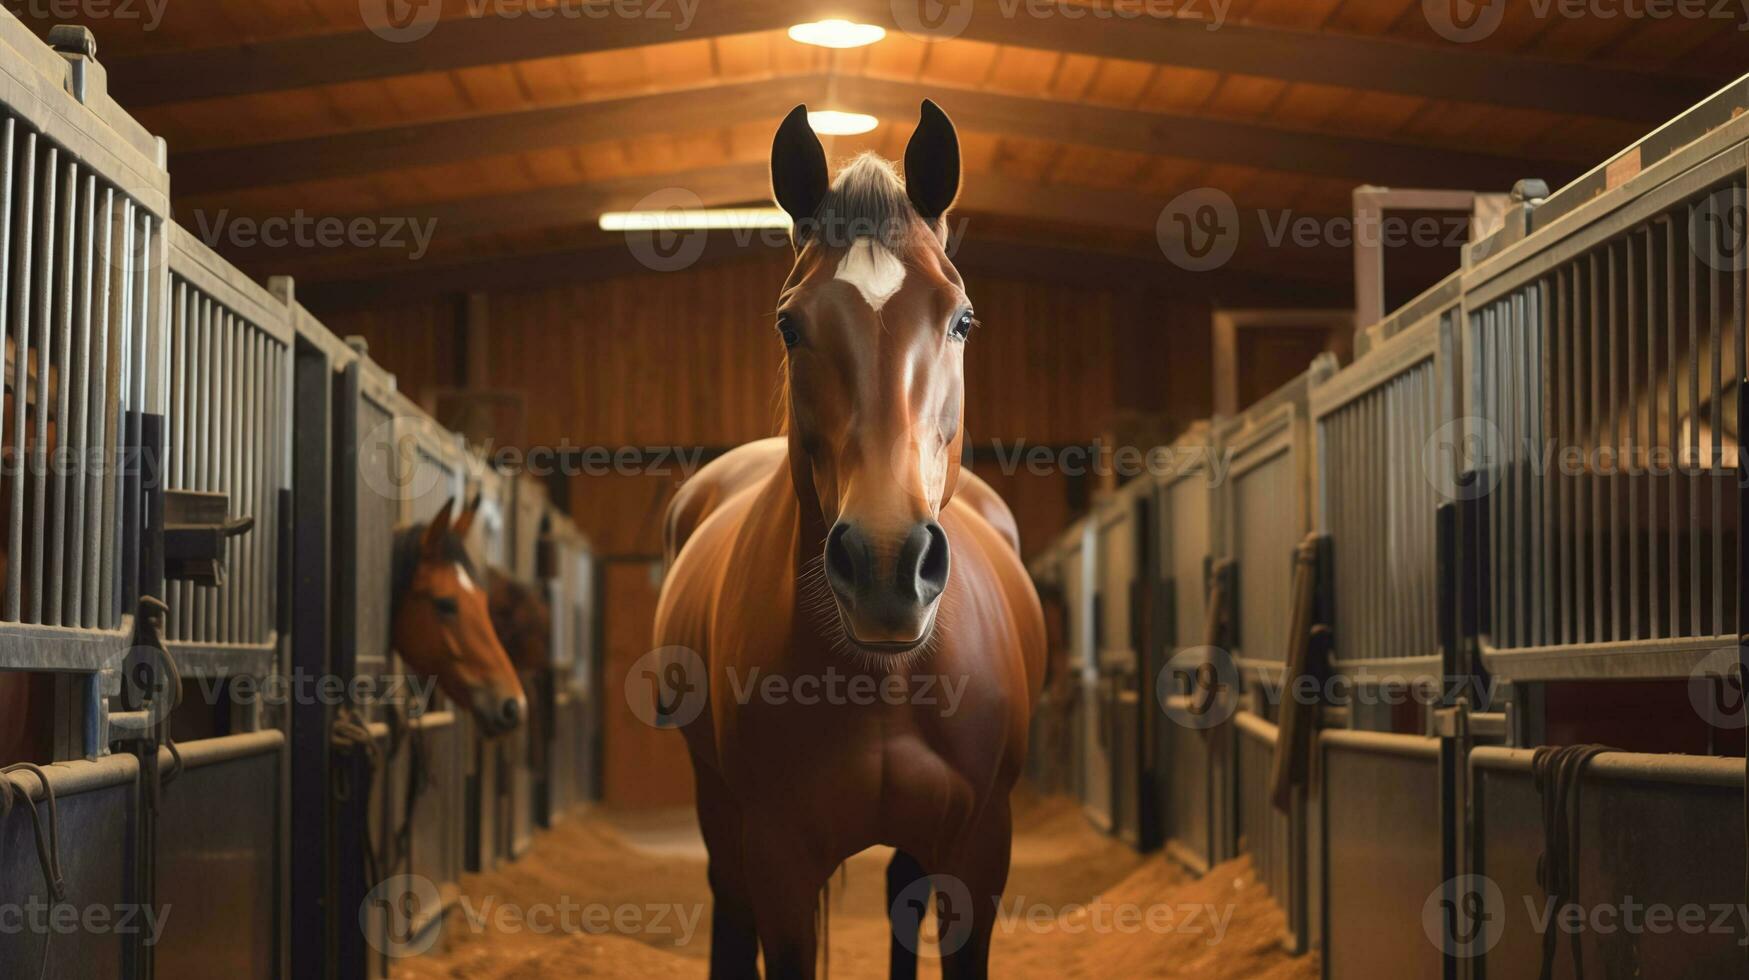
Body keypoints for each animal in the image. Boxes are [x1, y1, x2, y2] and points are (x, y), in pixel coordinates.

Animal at [654, 103, 1035, 973]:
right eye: (789, 325)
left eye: (961, 318)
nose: (887, 564)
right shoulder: (779, 861)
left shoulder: (980, 853)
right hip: (717, 809)